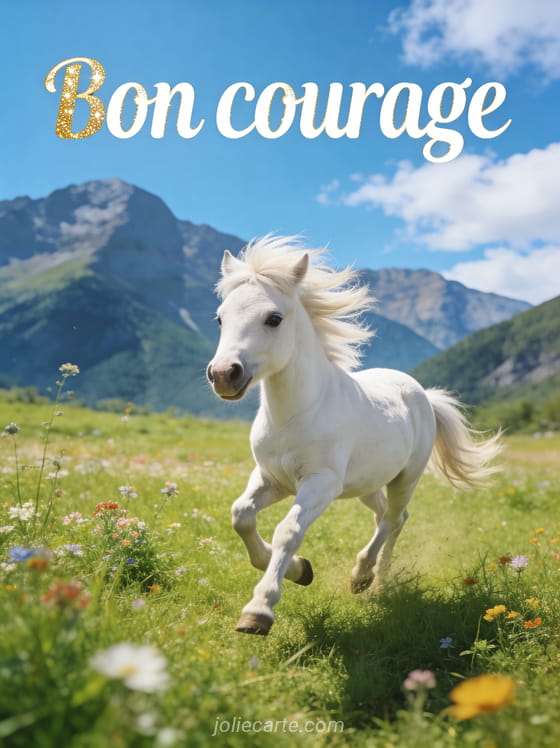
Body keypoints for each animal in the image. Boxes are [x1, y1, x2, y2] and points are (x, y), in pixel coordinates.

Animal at [206, 236, 501, 636]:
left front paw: (259, 611)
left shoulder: (320, 484)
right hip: (367, 484)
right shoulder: (272, 479)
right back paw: (377, 579)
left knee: (393, 518)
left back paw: (366, 579)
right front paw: (302, 570)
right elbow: (241, 516)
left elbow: (288, 531)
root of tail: (423, 393)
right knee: (390, 518)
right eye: (220, 317)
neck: (297, 414)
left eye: (274, 318)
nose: (224, 374)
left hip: (406, 477)